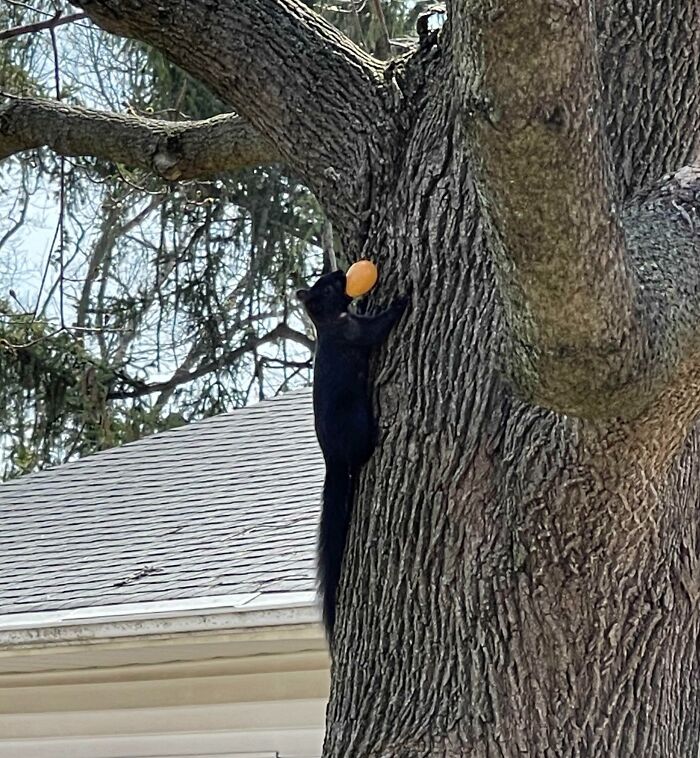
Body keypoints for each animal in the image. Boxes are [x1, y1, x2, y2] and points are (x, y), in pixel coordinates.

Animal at [297, 269, 408, 640]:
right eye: (331, 286)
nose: (337, 272)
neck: (330, 322)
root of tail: (331, 457)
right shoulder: (354, 333)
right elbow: (377, 329)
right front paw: (401, 301)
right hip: (355, 419)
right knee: (359, 453)